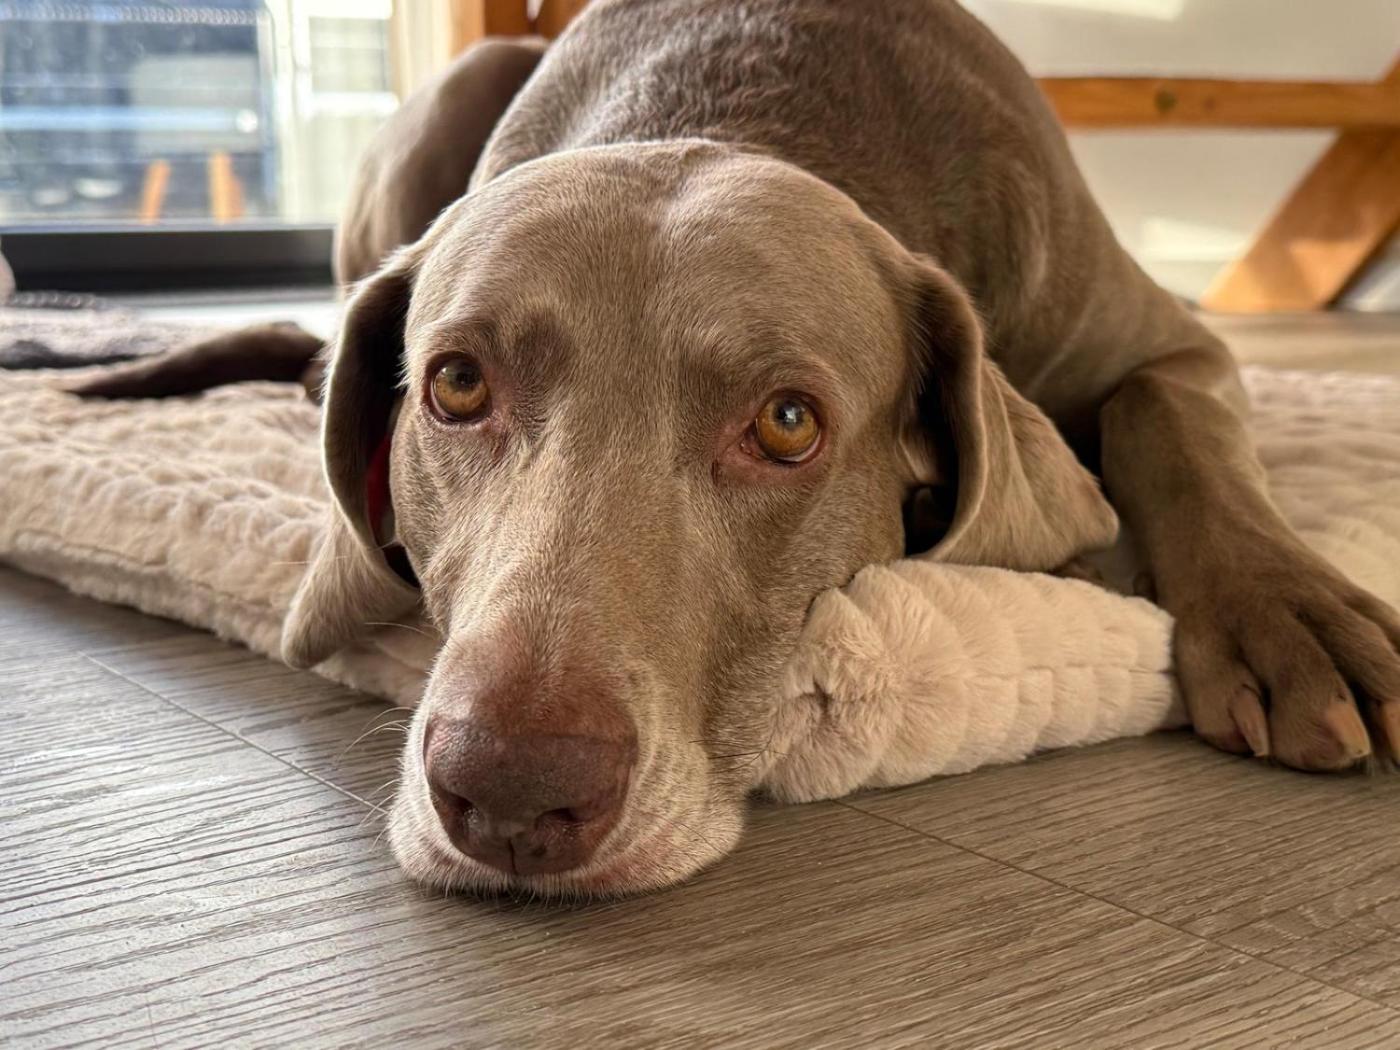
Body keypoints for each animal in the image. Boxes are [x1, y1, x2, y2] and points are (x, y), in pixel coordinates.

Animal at [74, 0, 1400, 897]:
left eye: (786, 424)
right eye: (454, 384)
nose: (509, 789)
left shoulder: (1171, 343)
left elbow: (1163, 417)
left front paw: (1293, 619)